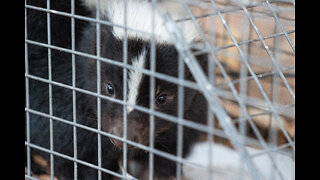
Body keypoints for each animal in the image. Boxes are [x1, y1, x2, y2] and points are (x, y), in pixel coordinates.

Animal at [26, 0, 208, 179]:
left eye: (161, 98)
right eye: (109, 88)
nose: (124, 137)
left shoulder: (189, 112)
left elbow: (170, 149)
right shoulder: (62, 101)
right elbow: (75, 155)